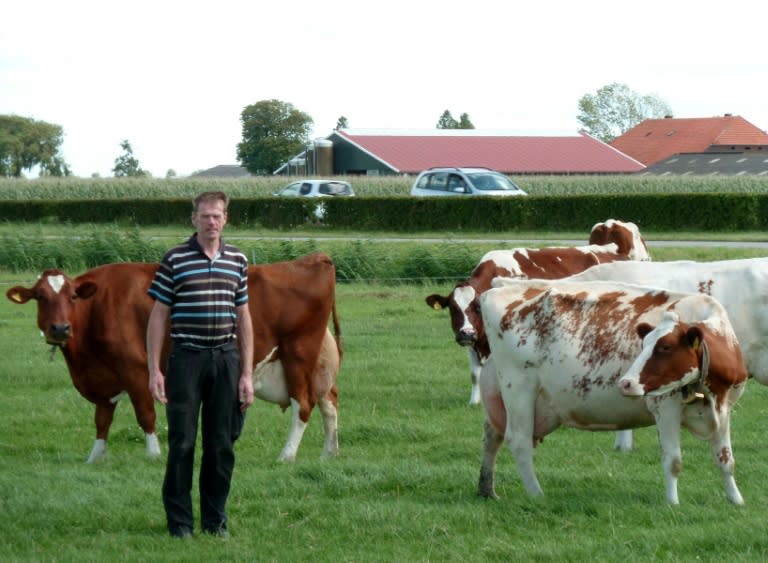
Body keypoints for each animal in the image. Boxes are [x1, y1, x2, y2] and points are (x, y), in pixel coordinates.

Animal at [6, 253, 342, 464]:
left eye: (73, 296)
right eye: (40, 297)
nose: (60, 328)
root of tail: (314, 259)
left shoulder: (135, 370)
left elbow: (146, 415)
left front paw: (154, 455)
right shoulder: (105, 378)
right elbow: (102, 420)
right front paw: (95, 458)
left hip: (298, 354)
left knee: (303, 405)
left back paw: (286, 455)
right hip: (317, 366)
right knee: (328, 403)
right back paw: (328, 453)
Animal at [426, 218, 648, 408]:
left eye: (476, 307)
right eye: (452, 308)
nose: (465, 333)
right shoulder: (475, 340)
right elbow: (475, 373)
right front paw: (474, 402)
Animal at [476, 280, 748, 504]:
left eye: (665, 347)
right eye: (644, 344)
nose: (626, 382)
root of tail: (498, 288)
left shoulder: (725, 409)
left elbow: (726, 459)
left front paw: (736, 500)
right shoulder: (665, 407)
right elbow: (673, 461)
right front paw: (673, 503)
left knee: (492, 436)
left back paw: (487, 489)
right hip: (518, 388)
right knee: (519, 440)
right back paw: (536, 493)